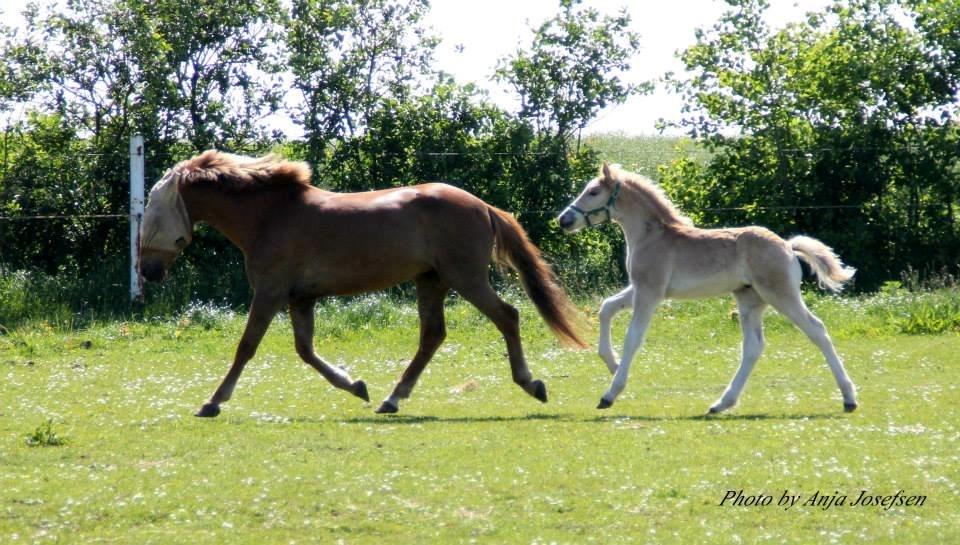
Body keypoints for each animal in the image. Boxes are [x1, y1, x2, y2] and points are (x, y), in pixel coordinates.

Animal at [138, 151, 580, 414]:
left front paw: (212, 402)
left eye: (153, 212)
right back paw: (391, 398)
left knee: (507, 317)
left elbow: (246, 347)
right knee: (433, 336)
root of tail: (484, 206)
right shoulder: (300, 300)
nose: (147, 272)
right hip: (431, 281)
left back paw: (531, 384)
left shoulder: (269, 294)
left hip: (465, 278)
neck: (268, 217)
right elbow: (306, 351)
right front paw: (356, 386)